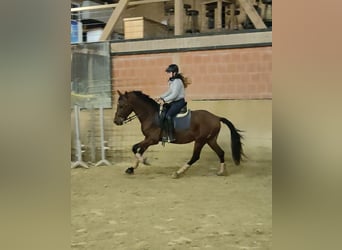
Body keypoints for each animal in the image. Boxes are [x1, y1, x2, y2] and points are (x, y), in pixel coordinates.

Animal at [113, 90, 244, 178]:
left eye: (122, 105)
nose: (116, 121)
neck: (151, 115)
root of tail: (216, 117)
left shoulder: (152, 139)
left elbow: (135, 148)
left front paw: (144, 161)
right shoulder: (147, 139)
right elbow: (139, 150)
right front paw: (132, 168)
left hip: (200, 140)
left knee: (195, 156)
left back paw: (178, 172)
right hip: (210, 140)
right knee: (221, 153)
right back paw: (221, 172)